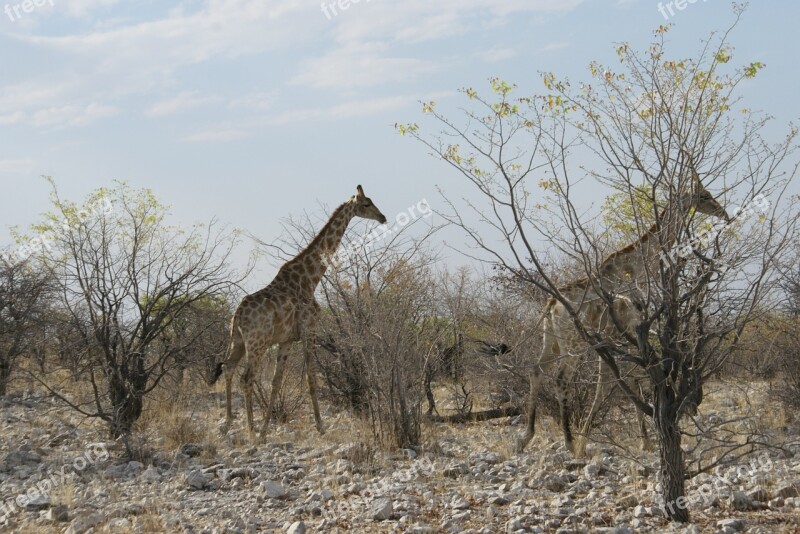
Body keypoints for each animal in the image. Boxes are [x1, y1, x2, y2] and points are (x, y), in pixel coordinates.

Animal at [520, 176, 732, 456]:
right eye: (705, 195)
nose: (724, 213)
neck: (640, 264)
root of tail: (551, 304)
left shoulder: (620, 336)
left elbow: (623, 380)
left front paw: (643, 438)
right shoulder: (634, 327)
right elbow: (628, 379)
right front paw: (642, 438)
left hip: (551, 340)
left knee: (535, 371)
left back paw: (526, 436)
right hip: (573, 344)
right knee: (561, 379)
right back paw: (569, 442)